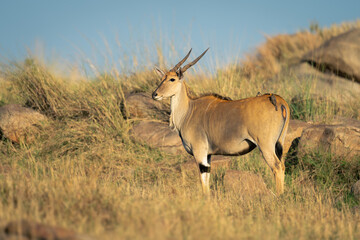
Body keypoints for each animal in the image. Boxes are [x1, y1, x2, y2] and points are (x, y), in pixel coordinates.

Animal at [151, 48, 290, 195]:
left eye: (172, 79)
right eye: (162, 78)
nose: (155, 94)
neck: (188, 110)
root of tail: (278, 101)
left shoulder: (199, 152)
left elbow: (203, 181)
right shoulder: (208, 155)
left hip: (265, 146)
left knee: (277, 167)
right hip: (279, 143)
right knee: (282, 166)